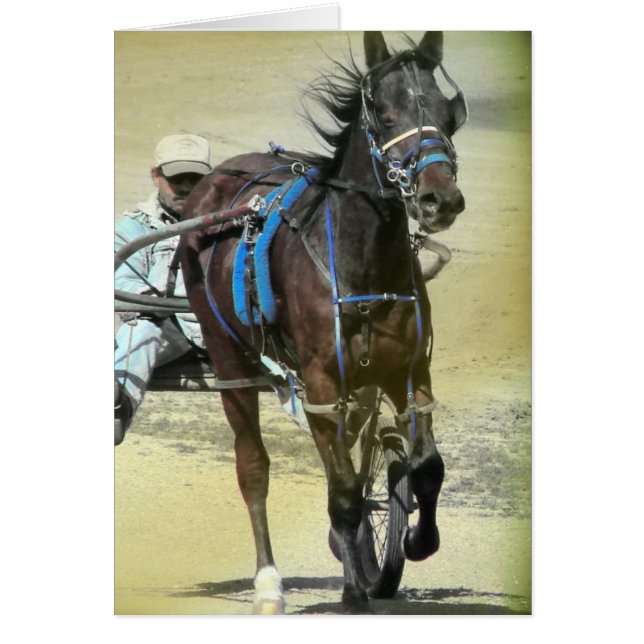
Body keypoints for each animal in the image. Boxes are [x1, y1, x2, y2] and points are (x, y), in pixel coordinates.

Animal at [180, 31, 467, 613]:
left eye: (448, 115)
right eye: (384, 114)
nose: (439, 199)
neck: (363, 263)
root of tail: (216, 180)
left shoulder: (407, 371)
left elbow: (425, 467)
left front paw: (416, 539)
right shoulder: (320, 382)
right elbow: (345, 495)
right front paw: (355, 591)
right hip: (229, 358)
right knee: (253, 468)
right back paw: (269, 582)